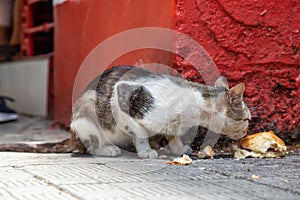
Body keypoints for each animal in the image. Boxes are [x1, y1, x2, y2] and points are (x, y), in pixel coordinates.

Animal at [70, 66, 251, 159]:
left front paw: (178, 148)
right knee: (90, 145)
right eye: (246, 119)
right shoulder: (122, 95)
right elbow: (140, 134)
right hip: (87, 110)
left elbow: (174, 135)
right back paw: (107, 149)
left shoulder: (174, 124)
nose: (246, 131)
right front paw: (145, 151)